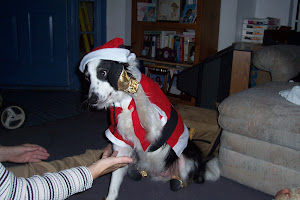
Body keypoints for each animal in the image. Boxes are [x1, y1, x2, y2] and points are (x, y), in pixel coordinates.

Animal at [79, 38, 220, 200]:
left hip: (188, 158)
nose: (91, 100)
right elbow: (114, 182)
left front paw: (132, 84)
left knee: (187, 178)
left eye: (103, 72)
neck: (124, 102)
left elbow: (141, 98)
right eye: (87, 78)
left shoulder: (155, 127)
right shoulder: (120, 141)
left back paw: (178, 181)